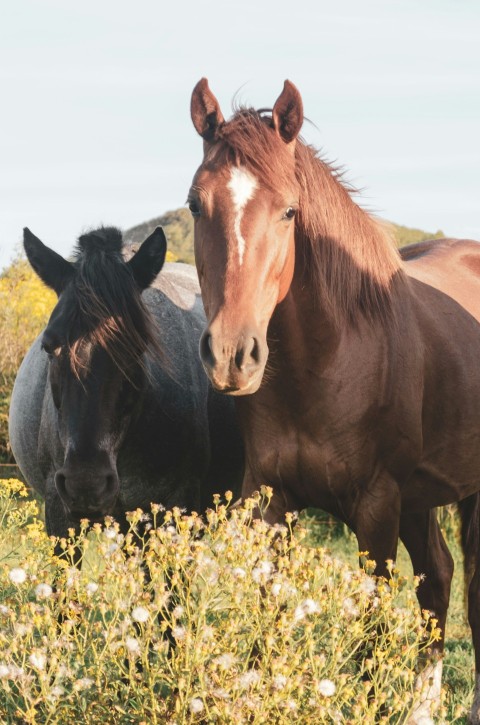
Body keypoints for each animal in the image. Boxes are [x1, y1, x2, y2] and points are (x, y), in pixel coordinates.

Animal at [188, 77, 480, 723]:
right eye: (195, 205)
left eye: (289, 211)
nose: (231, 355)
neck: (327, 363)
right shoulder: (270, 504)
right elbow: (264, 633)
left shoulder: (375, 509)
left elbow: (370, 642)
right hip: (422, 496)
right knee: (438, 577)